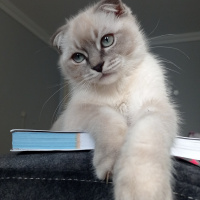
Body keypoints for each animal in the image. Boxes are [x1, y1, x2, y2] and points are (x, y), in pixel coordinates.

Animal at [50, 0, 179, 199]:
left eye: (107, 40)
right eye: (78, 57)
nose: (97, 66)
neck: (118, 88)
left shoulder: (154, 107)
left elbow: (144, 139)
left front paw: (142, 190)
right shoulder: (82, 111)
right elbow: (111, 120)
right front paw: (112, 168)